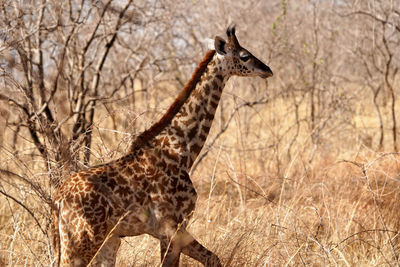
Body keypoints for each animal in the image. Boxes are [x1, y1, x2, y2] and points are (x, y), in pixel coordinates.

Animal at [52, 25, 272, 267]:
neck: (182, 151)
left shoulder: (173, 229)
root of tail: (58, 200)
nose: (267, 70)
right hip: (82, 240)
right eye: (244, 55)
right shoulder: (170, 227)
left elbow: (213, 258)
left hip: (105, 240)